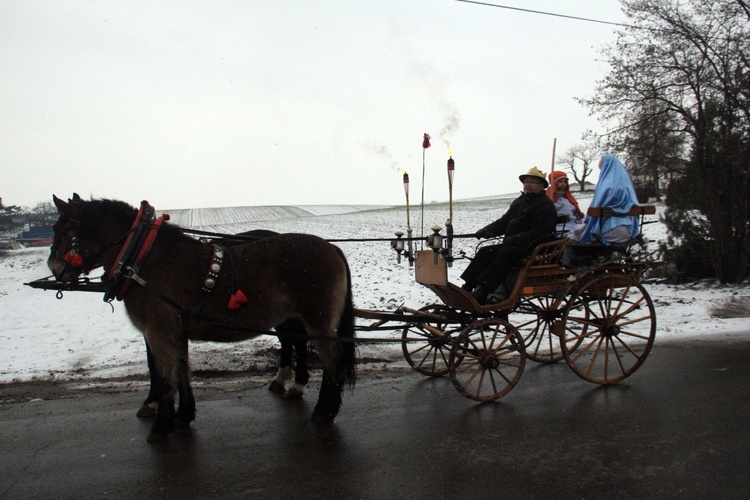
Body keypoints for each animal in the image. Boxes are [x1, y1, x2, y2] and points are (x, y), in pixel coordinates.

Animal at [48, 194, 356, 442]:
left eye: (64, 230)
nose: (54, 267)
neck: (143, 259)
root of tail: (332, 247)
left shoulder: (158, 333)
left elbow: (165, 376)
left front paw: (161, 425)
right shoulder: (175, 332)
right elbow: (182, 371)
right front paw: (183, 416)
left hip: (316, 320)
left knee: (332, 359)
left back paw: (324, 409)